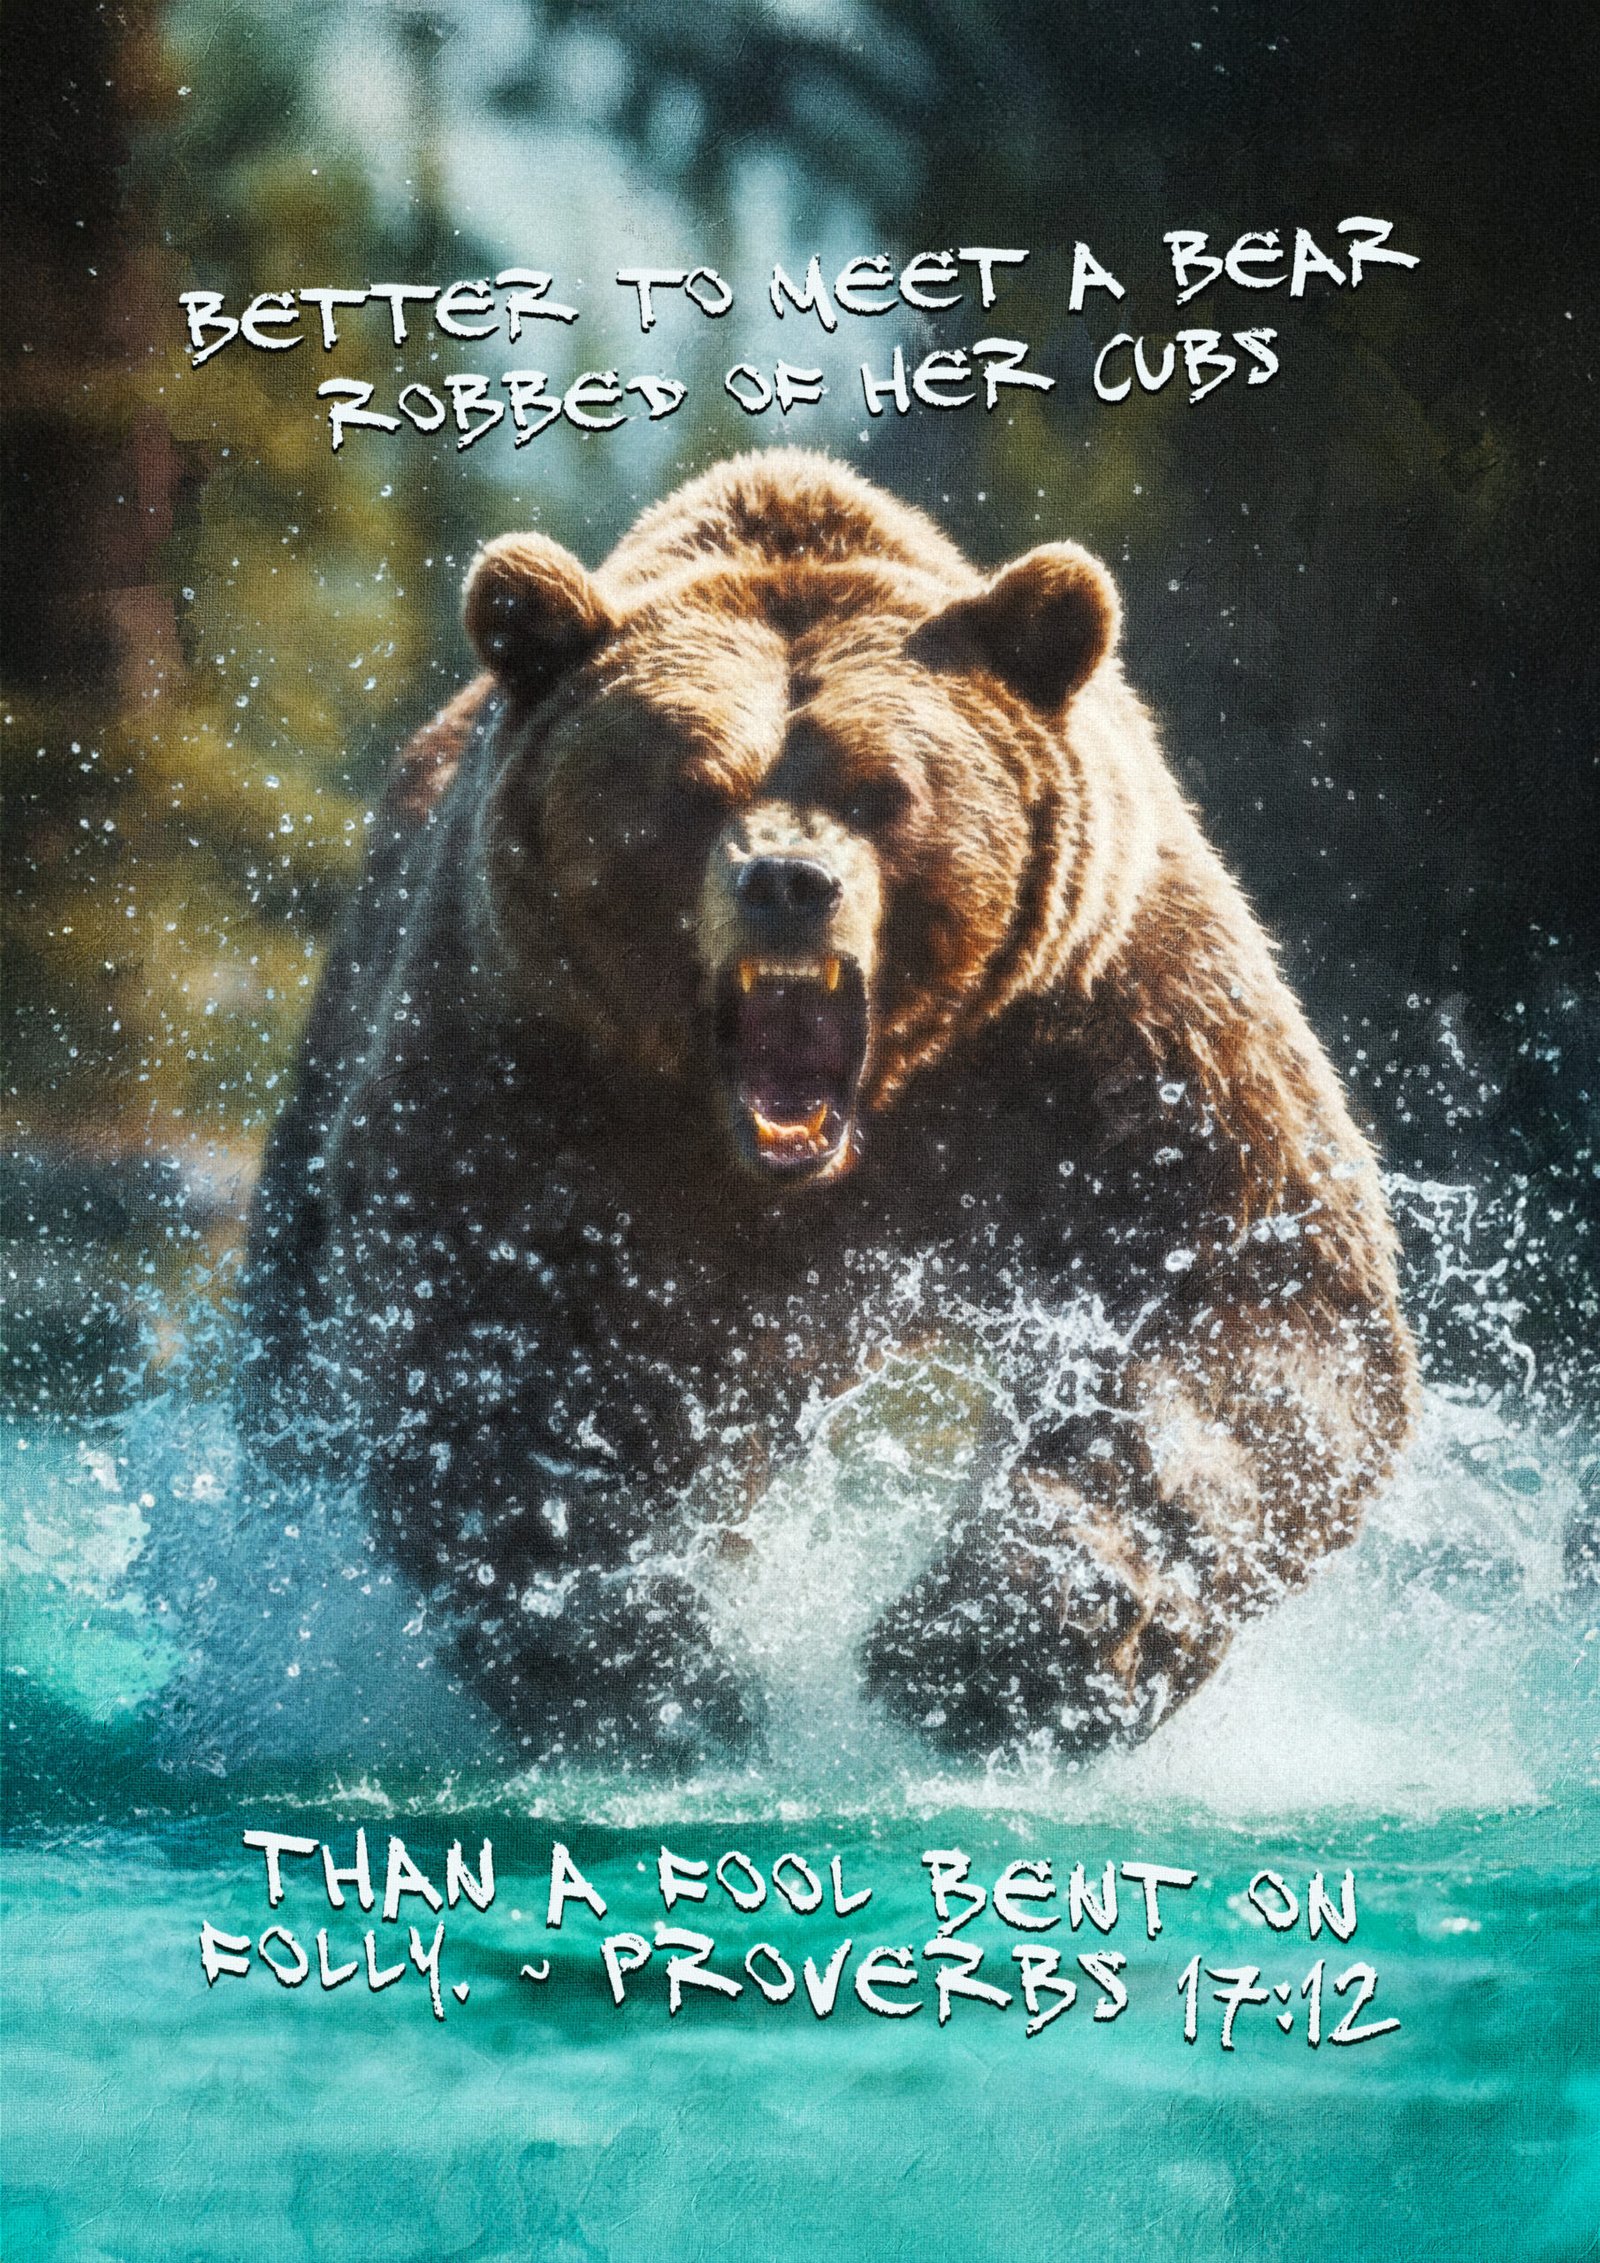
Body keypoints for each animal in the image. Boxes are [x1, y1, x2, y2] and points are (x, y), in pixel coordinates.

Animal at [239, 448, 1416, 1769]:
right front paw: (656, 1669)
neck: (807, 1156)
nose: (787, 882)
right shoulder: (524, 1069)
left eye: (883, 788)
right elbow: (482, 1351)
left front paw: (993, 1642)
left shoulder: (1106, 1034)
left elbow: (1257, 1301)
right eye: (688, 787)